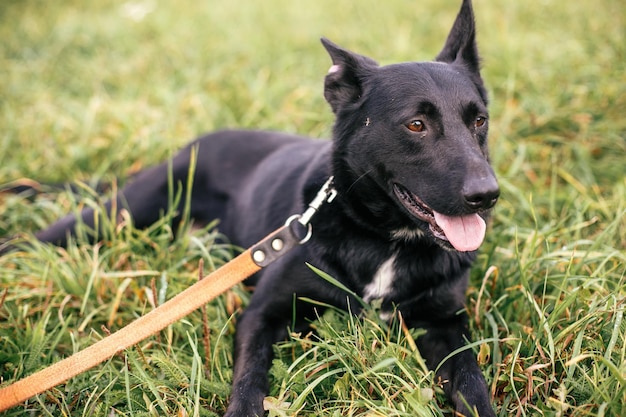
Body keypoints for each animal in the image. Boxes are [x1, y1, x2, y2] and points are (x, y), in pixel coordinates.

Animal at [2, 1, 498, 414]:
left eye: (479, 120)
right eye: (416, 125)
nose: (488, 195)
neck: (387, 240)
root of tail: (190, 147)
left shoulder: (445, 325)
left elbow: (472, 381)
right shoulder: (264, 314)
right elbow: (250, 376)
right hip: (118, 214)